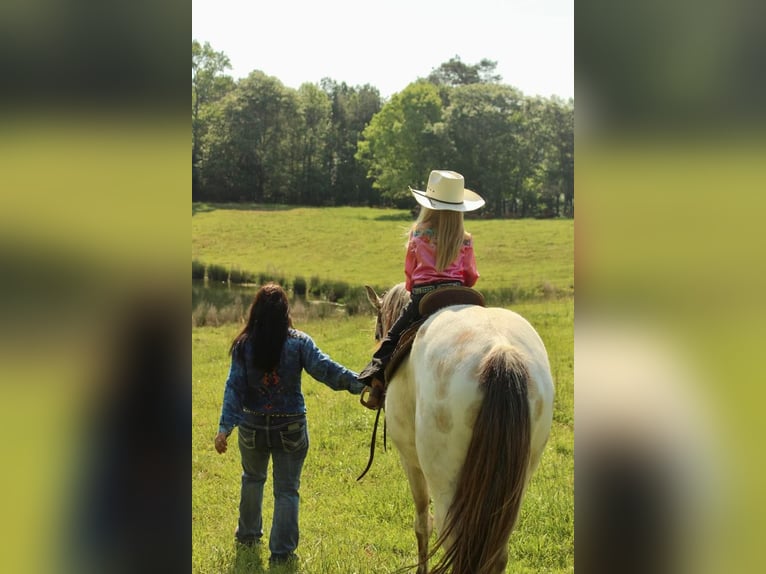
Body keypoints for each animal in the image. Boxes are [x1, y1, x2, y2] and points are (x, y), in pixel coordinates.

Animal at [368, 284, 560, 574]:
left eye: (379, 326)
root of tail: (500, 353)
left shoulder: (410, 462)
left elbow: (422, 523)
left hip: (447, 489)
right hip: (514, 488)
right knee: (496, 553)